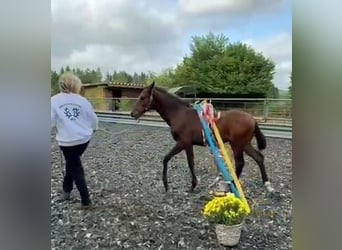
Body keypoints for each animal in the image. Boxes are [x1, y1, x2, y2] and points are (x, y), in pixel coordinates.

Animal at [130, 82, 274, 193]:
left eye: (143, 97)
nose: (133, 113)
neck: (179, 114)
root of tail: (252, 119)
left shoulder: (183, 142)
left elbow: (168, 158)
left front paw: (168, 185)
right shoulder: (188, 145)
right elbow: (190, 162)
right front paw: (192, 186)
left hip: (237, 145)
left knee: (240, 163)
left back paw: (231, 185)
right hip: (244, 144)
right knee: (259, 157)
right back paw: (267, 184)